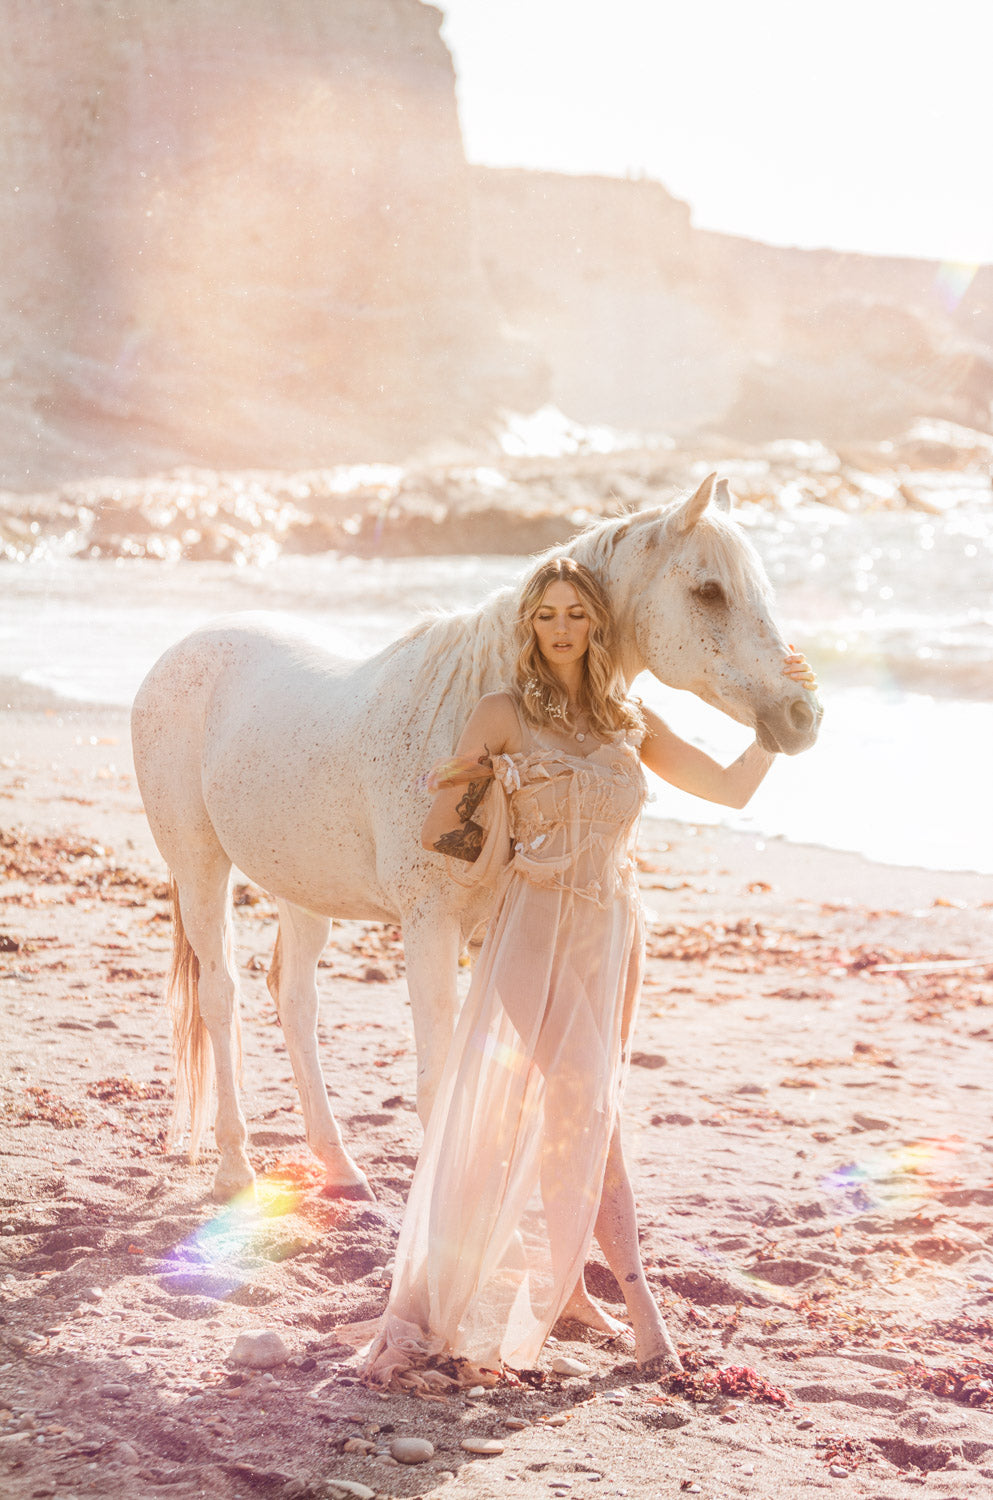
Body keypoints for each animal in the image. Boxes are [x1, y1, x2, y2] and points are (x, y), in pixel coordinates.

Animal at [132, 474, 822, 1200]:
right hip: (200, 868)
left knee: (294, 1000)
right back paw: (235, 1169)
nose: (801, 716)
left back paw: (340, 1168)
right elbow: (439, 1084)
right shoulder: (429, 926)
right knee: (220, 996)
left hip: (301, 886)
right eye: (709, 592)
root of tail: (184, 649)